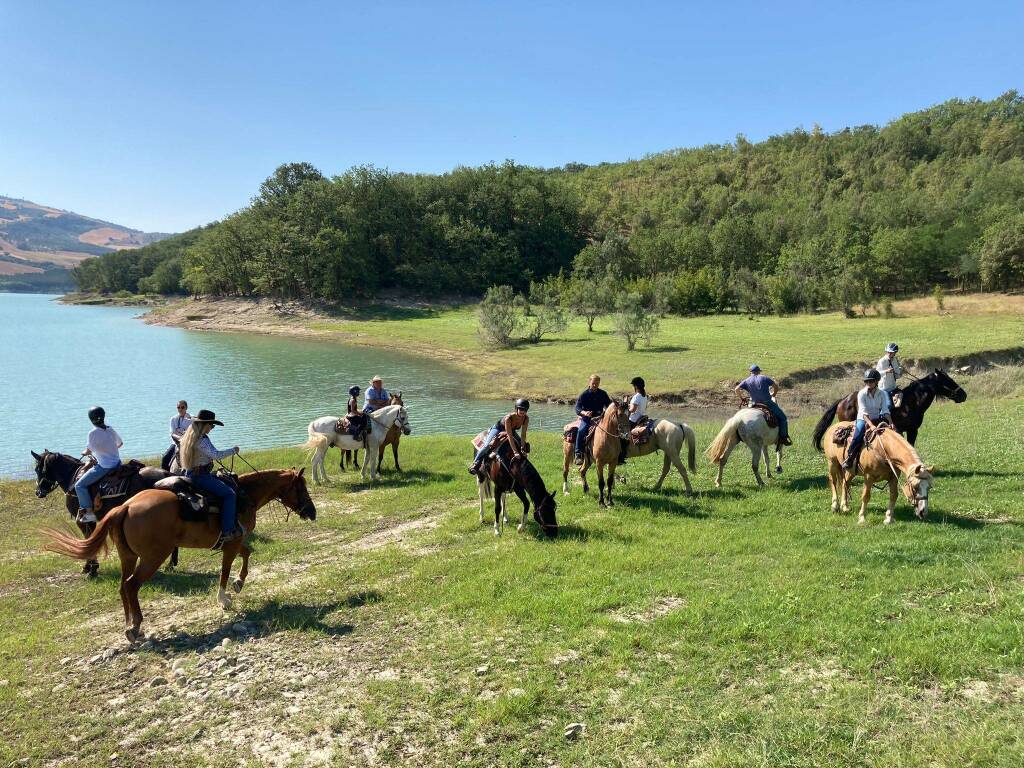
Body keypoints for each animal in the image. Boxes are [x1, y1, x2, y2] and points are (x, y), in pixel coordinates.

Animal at [30, 450, 180, 577]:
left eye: (38, 469)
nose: (38, 492)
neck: (73, 478)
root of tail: (167, 476)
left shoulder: (82, 521)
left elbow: (87, 540)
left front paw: (91, 569)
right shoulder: (91, 521)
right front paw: (90, 567)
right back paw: (170, 564)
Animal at [811, 366, 962, 450]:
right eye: (947, 380)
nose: (963, 395)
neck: (912, 402)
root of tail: (843, 400)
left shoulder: (908, 430)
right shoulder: (907, 430)